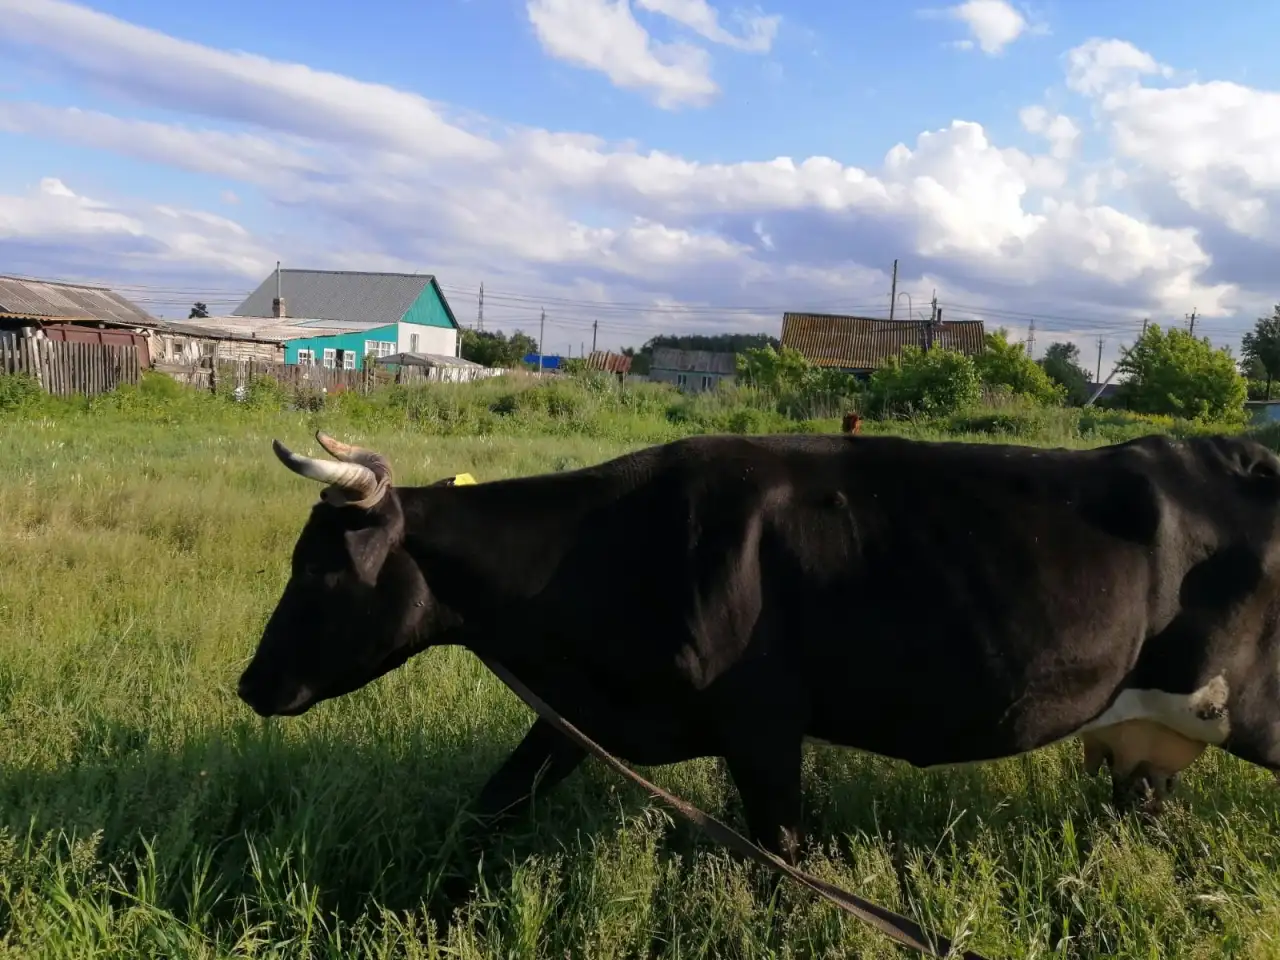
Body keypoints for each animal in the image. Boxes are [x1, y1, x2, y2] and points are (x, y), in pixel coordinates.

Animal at [237, 429, 1280, 864]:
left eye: (317, 571)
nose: (250, 684)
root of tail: (1236, 450)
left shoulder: (763, 725)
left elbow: (785, 855)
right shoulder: (585, 714)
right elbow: (492, 806)